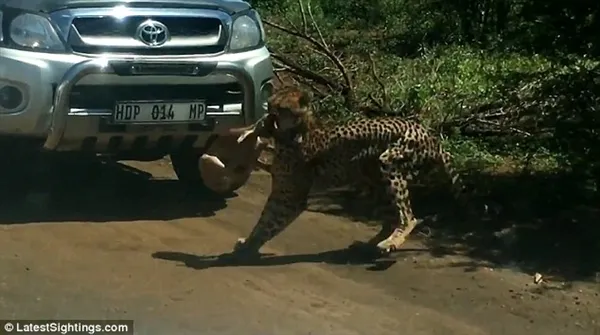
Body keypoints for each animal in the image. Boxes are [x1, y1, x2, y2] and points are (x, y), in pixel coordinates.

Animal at [229, 85, 468, 258]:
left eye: (280, 108)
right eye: (271, 105)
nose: (267, 114)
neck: (295, 133)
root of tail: (431, 136)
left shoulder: (290, 197)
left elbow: (270, 221)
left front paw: (251, 245)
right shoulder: (281, 190)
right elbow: (264, 218)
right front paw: (249, 243)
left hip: (389, 162)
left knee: (408, 216)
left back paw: (391, 241)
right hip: (374, 177)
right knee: (390, 216)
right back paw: (371, 245)